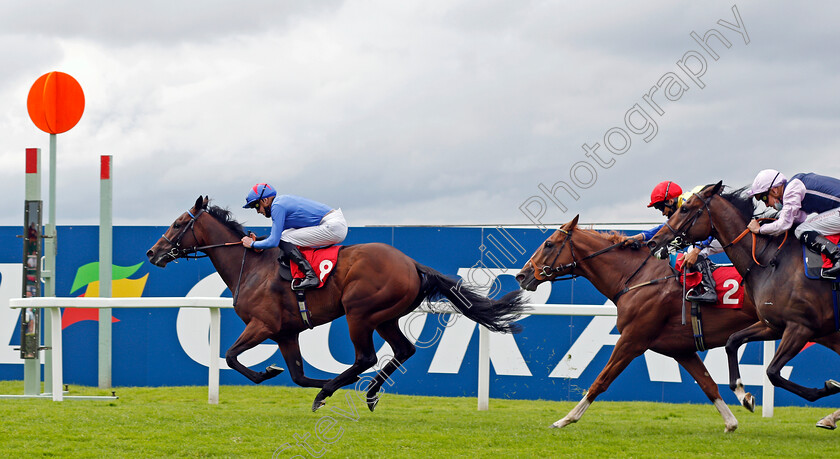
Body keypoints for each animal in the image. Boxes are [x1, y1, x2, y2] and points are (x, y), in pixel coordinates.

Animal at [145, 196, 524, 412]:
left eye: (178, 224)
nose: (151, 252)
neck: (250, 266)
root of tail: (411, 263)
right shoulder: (286, 333)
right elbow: (297, 375)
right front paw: (290, 376)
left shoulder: (262, 325)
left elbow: (231, 357)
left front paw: (269, 372)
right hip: (384, 316)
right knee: (403, 350)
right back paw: (368, 393)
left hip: (360, 312)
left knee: (366, 357)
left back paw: (336, 389)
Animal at [516, 217, 764, 434]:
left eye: (549, 243)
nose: (521, 275)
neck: (637, 278)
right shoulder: (681, 349)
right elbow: (708, 384)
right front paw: (731, 422)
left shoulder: (632, 340)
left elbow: (601, 381)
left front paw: (565, 419)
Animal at [648, 181, 840, 430]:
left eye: (685, 209)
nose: (653, 241)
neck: (769, 260)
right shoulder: (773, 325)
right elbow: (732, 342)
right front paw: (743, 393)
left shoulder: (800, 327)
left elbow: (772, 372)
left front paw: (826, 388)